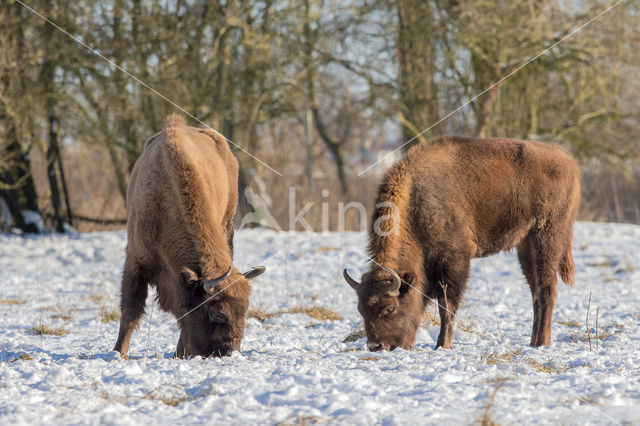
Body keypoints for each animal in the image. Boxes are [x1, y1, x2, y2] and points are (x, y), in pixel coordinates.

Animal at [113, 114, 264, 360]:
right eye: (216, 314)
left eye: (244, 311)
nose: (228, 351)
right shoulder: (135, 261)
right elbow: (130, 311)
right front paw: (118, 353)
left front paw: (181, 352)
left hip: (227, 224)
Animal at [344, 136, 580, 350]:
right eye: (361, 310)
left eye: (389, 309)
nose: (375, 346)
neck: (415, 202)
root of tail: (569, 162)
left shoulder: (453, 260)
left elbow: (446, 305)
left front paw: (443, 344)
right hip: (525, 246)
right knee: (535, 292)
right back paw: (533, 342)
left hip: (547, 238)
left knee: (547, 288)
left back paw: (542, 342)